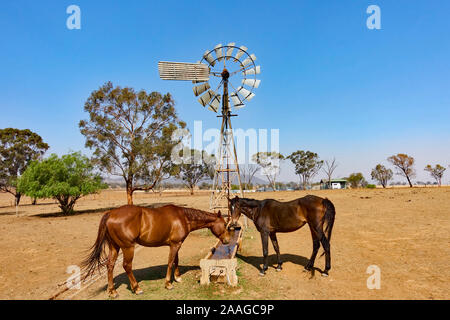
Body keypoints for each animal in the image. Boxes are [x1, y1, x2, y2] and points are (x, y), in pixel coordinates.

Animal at [83, 205, 230, 298]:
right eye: (224, 224)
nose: (228, 240)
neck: (183, 217)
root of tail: (111, 214)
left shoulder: (176, 244)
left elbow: (176, 260)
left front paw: (177, 277)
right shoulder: (175, 245)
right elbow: (170, 262)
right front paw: (168, 284)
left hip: (114, 247)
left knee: (110, 266)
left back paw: (112, 291)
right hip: (127, 247)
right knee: (127, 266)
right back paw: (137, 288)